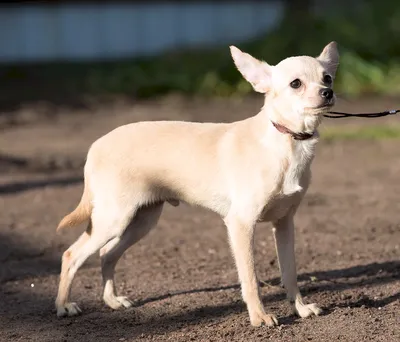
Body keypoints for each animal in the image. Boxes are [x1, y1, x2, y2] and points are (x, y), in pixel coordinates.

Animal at [54, 41, 340, 328]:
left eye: (327, 77)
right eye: (295, 83)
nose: (328, 92)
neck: (286, 141)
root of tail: (96, 145)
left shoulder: (284, 224)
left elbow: (290, 273)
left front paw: (300, 308)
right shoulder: (241, 224)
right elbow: (250, 279)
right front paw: (259, 316)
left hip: (140, 222)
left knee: (106, 254)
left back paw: (112, 300)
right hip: (114, 219)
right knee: (72, 255)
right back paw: (64, 305)